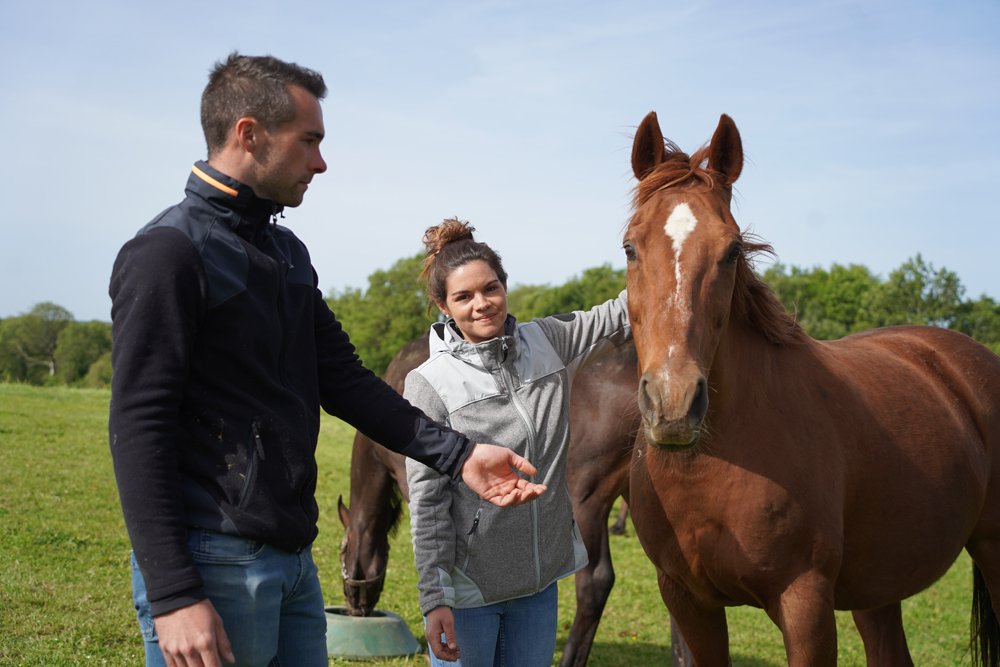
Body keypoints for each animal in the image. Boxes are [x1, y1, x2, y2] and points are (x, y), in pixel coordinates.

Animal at [621, 110, 1000, 666]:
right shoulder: (688, 601)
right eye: (630, 247)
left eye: (732, 250)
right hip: (878, 588)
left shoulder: (806, 604)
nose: (673, 403)